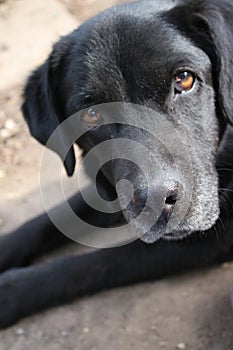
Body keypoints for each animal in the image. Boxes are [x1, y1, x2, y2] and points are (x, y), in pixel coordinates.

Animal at [0, 0, 233, 328]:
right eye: (92, 114)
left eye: (184, 79)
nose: (156, 200)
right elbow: (50, 218)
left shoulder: (216, 237)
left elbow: (96, 263)